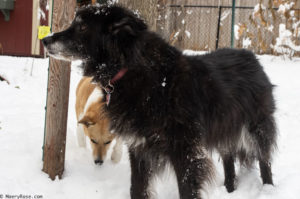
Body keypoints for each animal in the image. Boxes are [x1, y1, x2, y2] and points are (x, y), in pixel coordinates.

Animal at [41, 4, 276, 199]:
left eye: (81, 27)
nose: (45, 40)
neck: (130, 70)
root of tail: (251, 57)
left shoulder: (185, 151)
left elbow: (187, 191)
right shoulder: (139, 148)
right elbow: (137, 189)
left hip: (256, 128)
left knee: (264, 159)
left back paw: (268, 188)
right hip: (224, 128)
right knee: (229, 158)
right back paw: (229, 189)